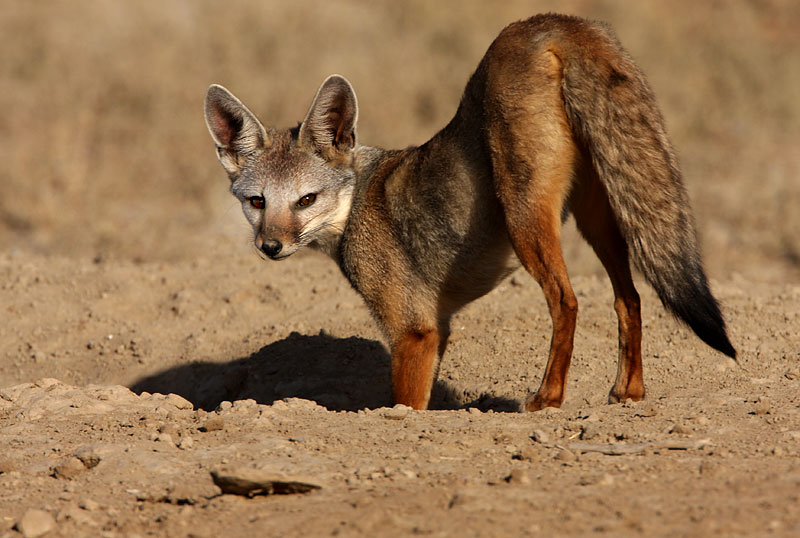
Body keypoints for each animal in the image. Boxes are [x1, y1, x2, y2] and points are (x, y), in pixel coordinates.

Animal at [204, 13, 736, 411]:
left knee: (567, 301)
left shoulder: (413, 331)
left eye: (306, 200)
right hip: (598, 217)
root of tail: (548, 22)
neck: (358, 203)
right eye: (257, 202)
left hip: (526, 217)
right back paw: (629, 392)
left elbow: (406, 406)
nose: (271, 247)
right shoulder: (440, 326)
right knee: (631, 300)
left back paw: (548, 397)